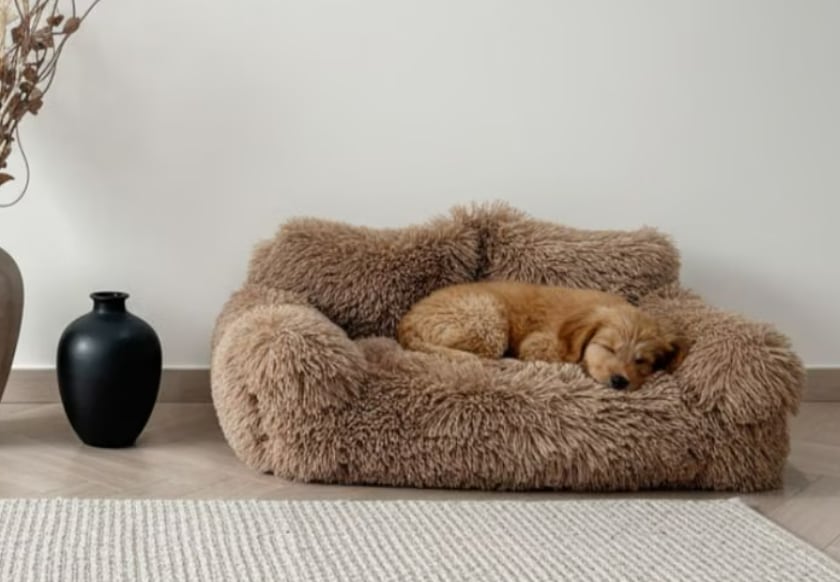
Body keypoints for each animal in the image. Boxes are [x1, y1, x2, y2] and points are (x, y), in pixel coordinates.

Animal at [397, 281, 688, 390]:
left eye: (641, 361)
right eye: (609, 348)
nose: (619, 381)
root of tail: (406, 323)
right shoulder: (538, 342)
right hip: (487, 319)